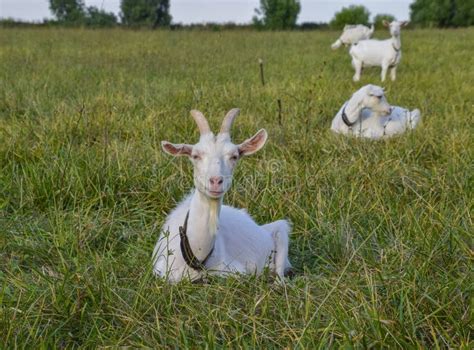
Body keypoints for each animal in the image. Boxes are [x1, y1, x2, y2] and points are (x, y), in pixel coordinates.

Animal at [154, 108, 290, 284]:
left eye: (234, 156)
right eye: (195, 155)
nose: (215, 181)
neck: (197, 255)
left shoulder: (236, 271)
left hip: (281, 230)